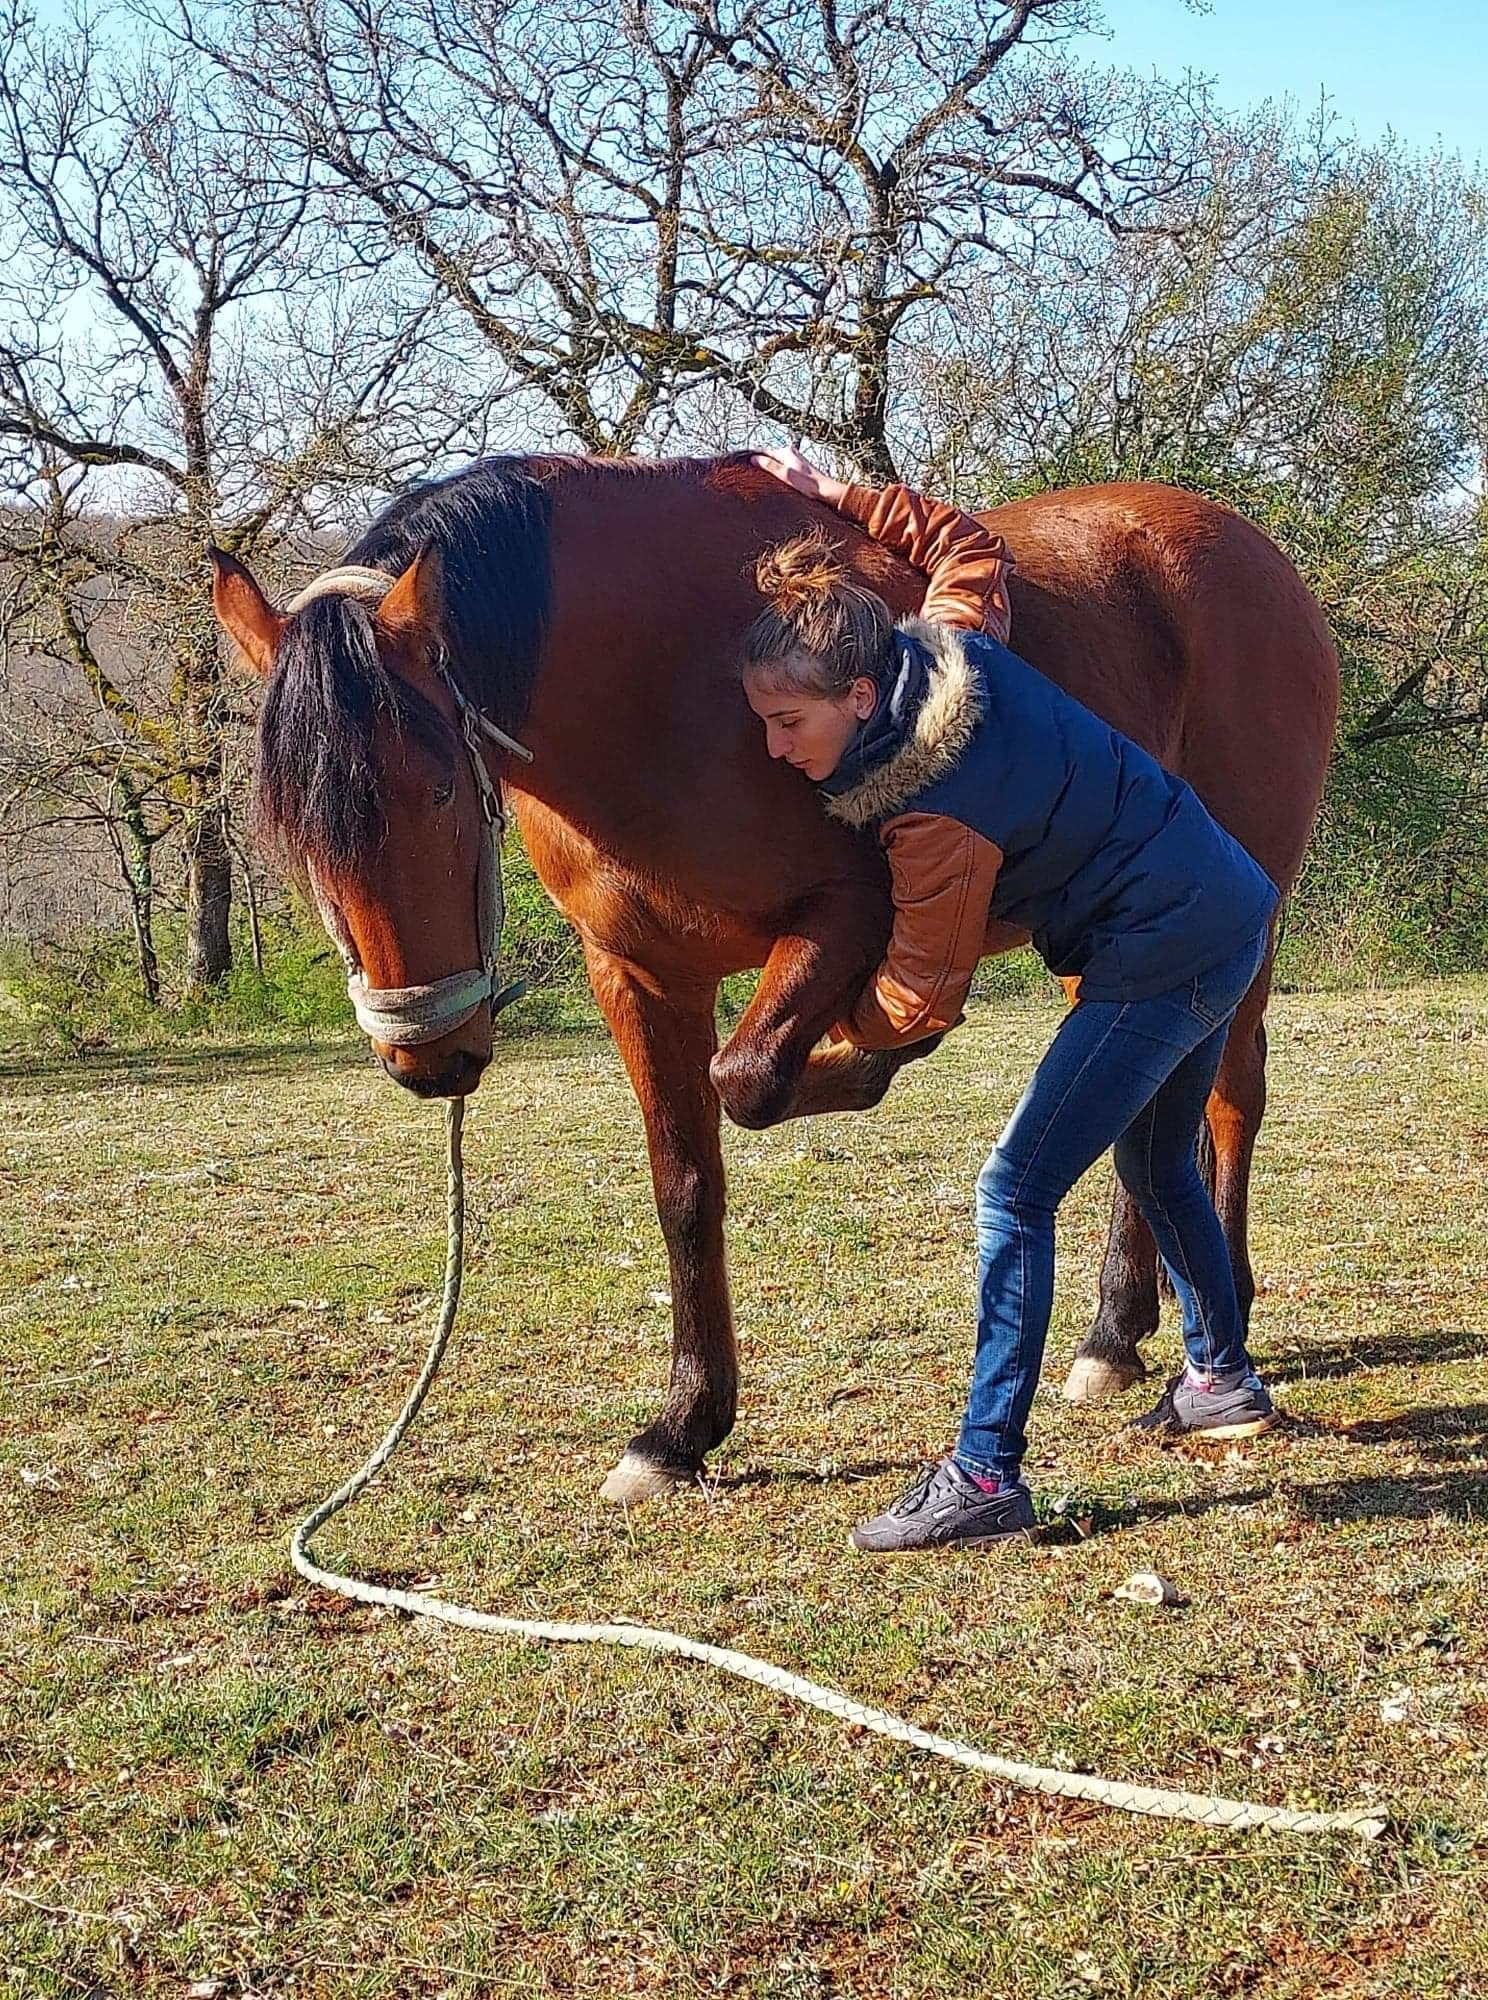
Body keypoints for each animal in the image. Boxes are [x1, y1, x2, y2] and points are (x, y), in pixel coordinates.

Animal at [211, 454, 1339, 1504]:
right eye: (292, 830)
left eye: (440, 786)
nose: (429, 1055)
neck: (661, 686)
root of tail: (1258, 557)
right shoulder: (637, 975)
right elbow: (684, 1185)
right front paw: (681, 1427)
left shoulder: (842, 918)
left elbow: (750, 1077)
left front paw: (872, 1055)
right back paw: (1116, 1330)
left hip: (1235, 903)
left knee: (1229, 1096)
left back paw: (1208, 1307)